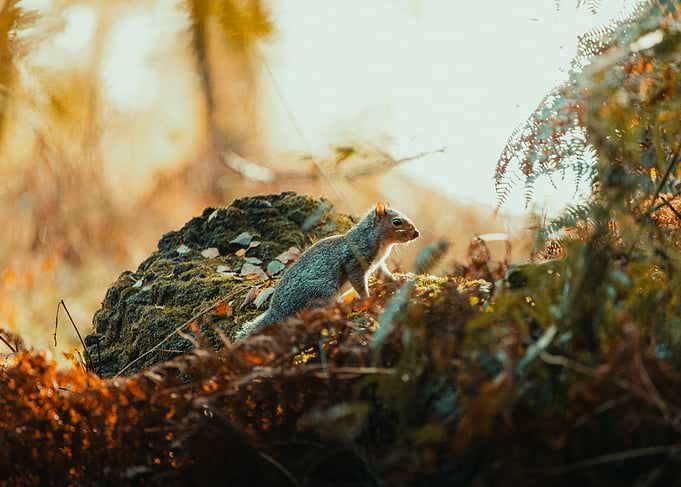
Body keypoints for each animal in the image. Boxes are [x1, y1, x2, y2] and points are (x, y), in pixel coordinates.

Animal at [235, 202, 420, 340]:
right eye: (396, 222)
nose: (417, 233)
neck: (380, 243)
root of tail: (278, 311)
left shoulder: (377, 264)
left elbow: (385, 276)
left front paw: (399, 280)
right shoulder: (353, 262)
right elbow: (359, 284)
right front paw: (368, 299)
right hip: (323, 292)